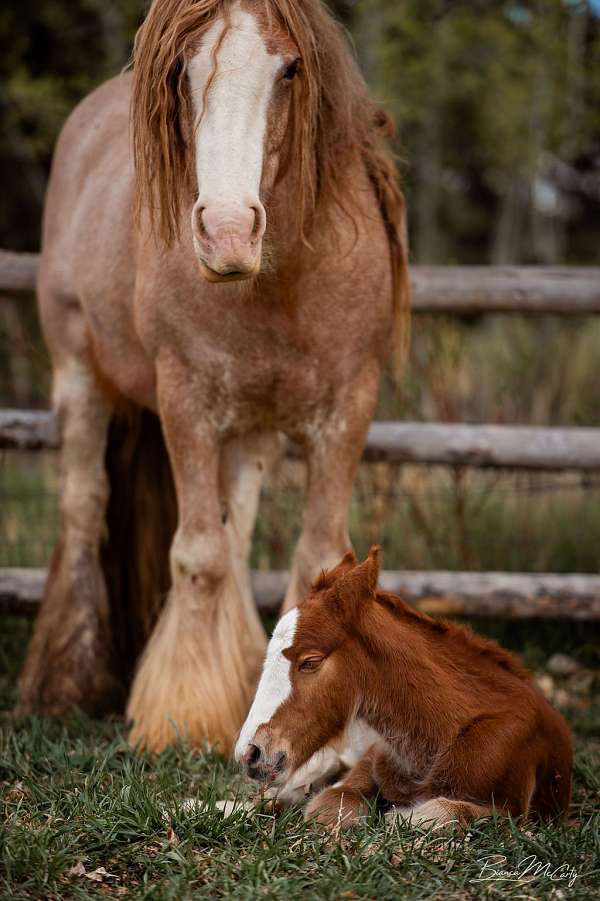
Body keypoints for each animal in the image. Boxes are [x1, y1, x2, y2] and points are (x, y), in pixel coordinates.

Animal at [17, 0, 409, 754]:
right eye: (181, 71)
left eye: (290, 69)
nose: (227, 233)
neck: (283, 285)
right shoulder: (186, 404)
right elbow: (197, 554)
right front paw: (183, 715)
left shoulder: (348, 408)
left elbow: (311, 558)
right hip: (79, 376)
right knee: (83, 507)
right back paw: (66, 683)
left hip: (251, 429)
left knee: (237, 528)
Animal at [235, 547, 573, 829]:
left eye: (310, 661)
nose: (249, 753)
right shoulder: (363, 768)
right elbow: (329, 804)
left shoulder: (512, 811)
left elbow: (439, 811)